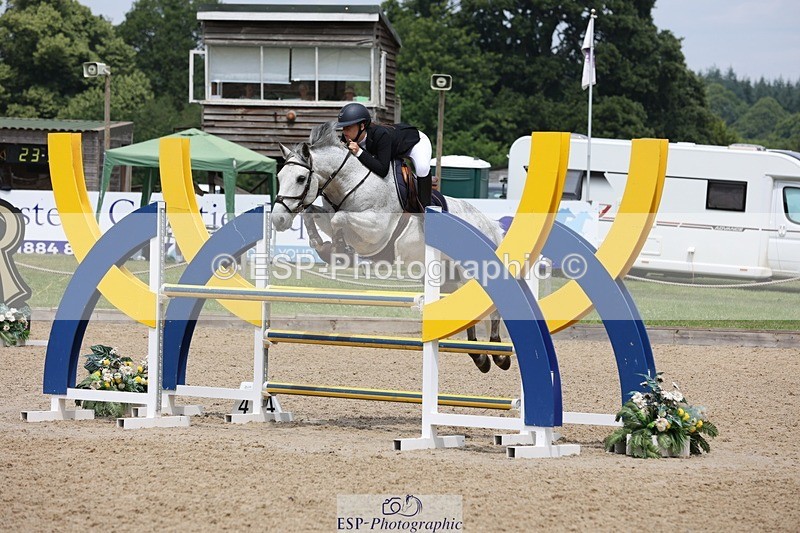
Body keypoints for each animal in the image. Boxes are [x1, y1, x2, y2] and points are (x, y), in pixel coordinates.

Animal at [271, 121, 509, 373]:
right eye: (279, 176)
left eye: (300, 178)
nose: (278, 220)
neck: (351, 183)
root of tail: (489, 224)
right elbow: (313, 214)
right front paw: (324, 246)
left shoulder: (376, 230)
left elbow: (339, 220)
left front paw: (338, 248)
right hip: (450, 279)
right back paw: (480, 356)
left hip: (473, 273)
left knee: (491, 305)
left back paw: (499, 354)